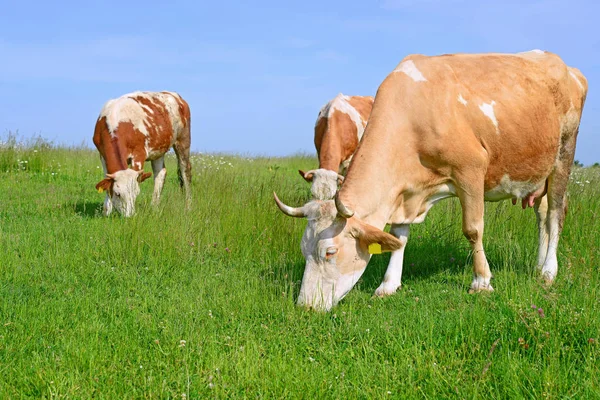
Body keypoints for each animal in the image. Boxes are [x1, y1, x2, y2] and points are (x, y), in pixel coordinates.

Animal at [274, 50, 588, 310]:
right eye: (303, 250)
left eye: (330, 252)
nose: (305, 306)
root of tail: (567, 68)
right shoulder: (406, 192)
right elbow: (398, 235)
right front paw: (388, 284)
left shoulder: (471, 170)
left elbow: (473, 229)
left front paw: (481, 281)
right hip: (537, 173)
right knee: (542, 214)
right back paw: (538, 264)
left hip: (563, 154)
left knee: (555, 214)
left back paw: (548, 271)